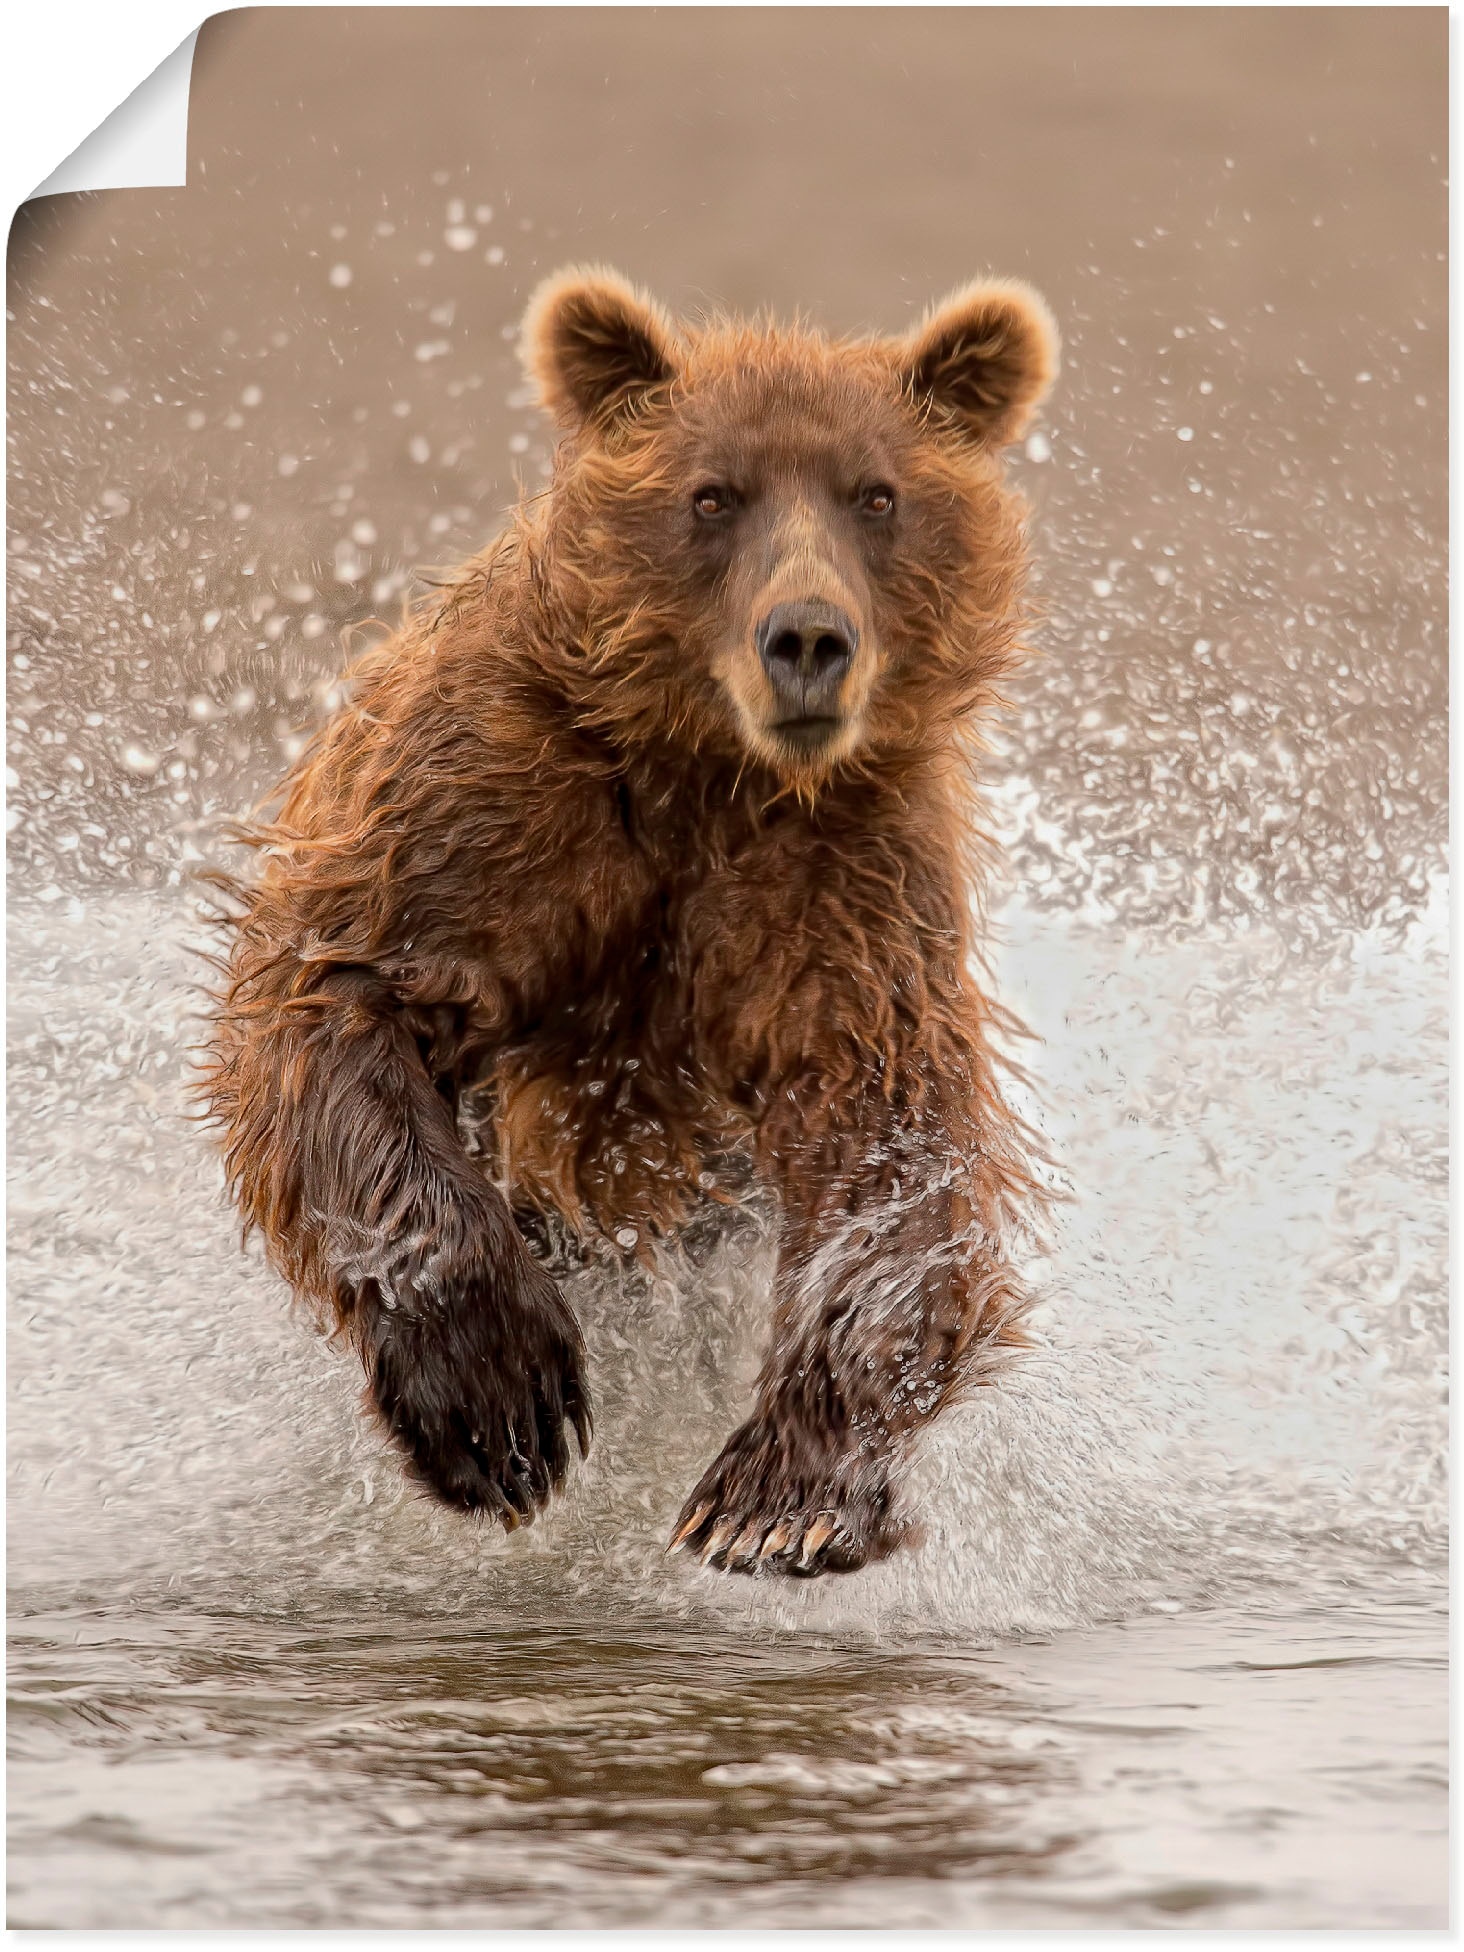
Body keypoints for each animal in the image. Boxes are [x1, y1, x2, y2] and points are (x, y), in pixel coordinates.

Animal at [202, 265, 1058, 1577]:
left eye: (878, 494)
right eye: (711, 494)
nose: (807, 638)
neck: (708, 768)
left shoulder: (842, 879)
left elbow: (889, 1129)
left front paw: (781, 1497)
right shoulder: (493, 804)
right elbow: (343, 991)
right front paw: (499, 1403)